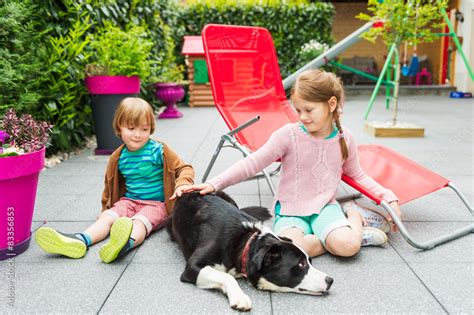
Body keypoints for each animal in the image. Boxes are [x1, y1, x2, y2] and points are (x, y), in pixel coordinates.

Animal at [167, 191, 334, 312]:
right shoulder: (193, 266)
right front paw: (239, 296)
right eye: (301, 264)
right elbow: (227, 276)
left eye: (310, 261)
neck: (245, 243)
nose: (330, 280)